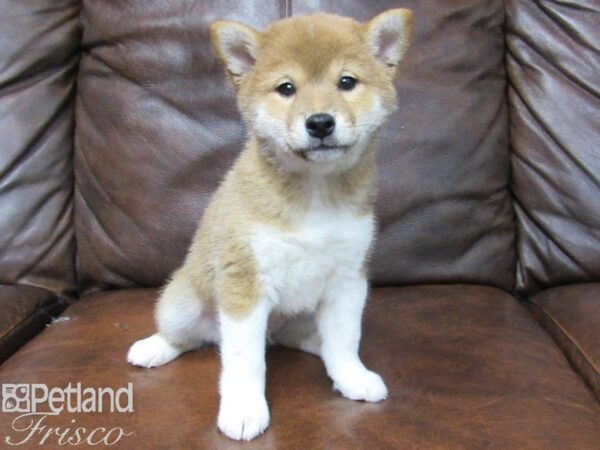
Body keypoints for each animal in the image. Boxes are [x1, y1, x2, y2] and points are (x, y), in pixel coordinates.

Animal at [127, 8, 412, 442]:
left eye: (346, 82)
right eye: (286, 88)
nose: (320, 123)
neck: (314, 192)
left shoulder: (347, 280)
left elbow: (345, 340)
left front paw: (351, 376)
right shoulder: (244, 281)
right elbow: (245, 360)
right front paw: (245, 409)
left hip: (302, 313)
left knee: (297, 337)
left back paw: (317, 346)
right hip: (183, 304)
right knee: (188, 338)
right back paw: (153, 349)